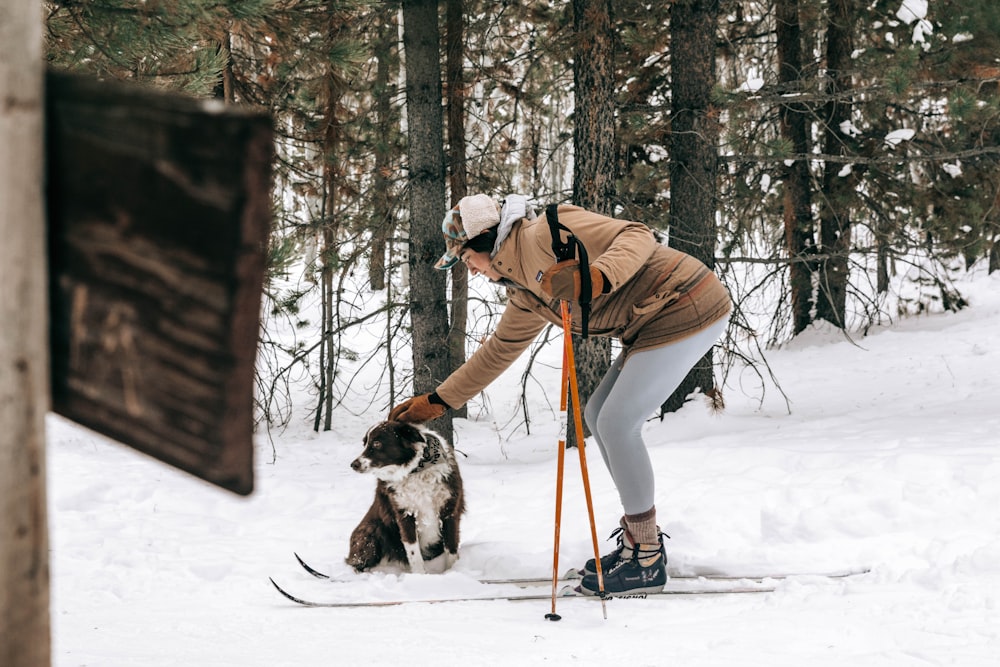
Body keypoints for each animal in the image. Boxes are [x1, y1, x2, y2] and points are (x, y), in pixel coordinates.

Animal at [348, 422, 464, 576]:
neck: (416, 470)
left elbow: (451, 548)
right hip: (371, 530)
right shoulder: (404, 514)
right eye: (365, 443)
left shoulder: (449, 511)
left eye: (377, 443)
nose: (354, 464)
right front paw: (420, 576)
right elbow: (414, 552)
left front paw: (453, 572)